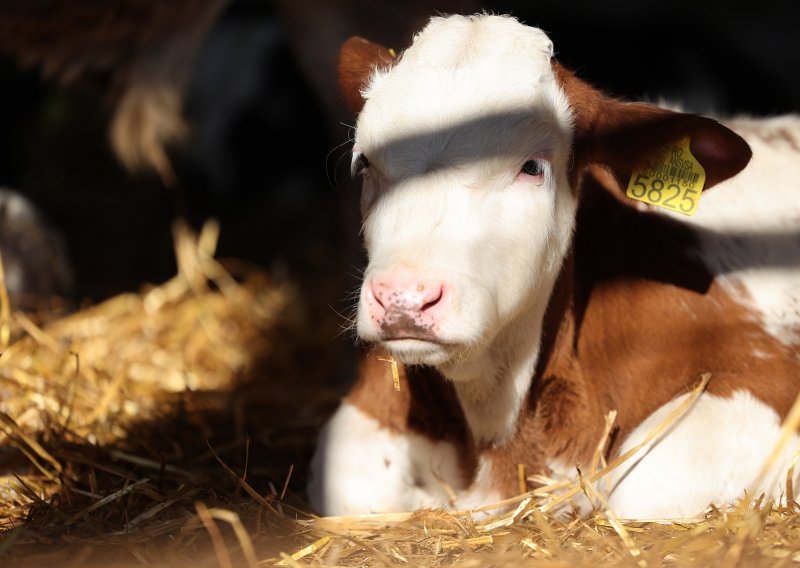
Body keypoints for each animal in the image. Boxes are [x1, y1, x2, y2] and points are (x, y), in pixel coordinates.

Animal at [308, 13, 800, 520]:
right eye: (365, 163)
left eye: (532, 167)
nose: (404, 298)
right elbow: (354, 480)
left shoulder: (761, 368)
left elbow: (648, 486)